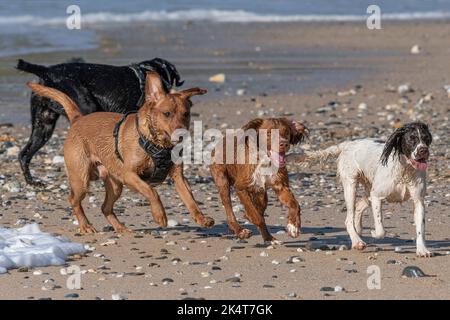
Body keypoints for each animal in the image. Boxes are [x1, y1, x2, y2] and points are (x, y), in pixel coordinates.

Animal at [28, 72, 214, 232]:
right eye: (166, 113)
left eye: (186, 114)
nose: (182, 134)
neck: (158, 145)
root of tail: (78, 119)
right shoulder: (129, 175)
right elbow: (152, 191)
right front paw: (159, 215)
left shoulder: (178, 177)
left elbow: (190, 200)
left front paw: (202, 218)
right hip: (81, 179)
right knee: (74, 200)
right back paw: (86, 225)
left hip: (114, 185)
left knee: (105, 207)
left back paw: (120, 228)